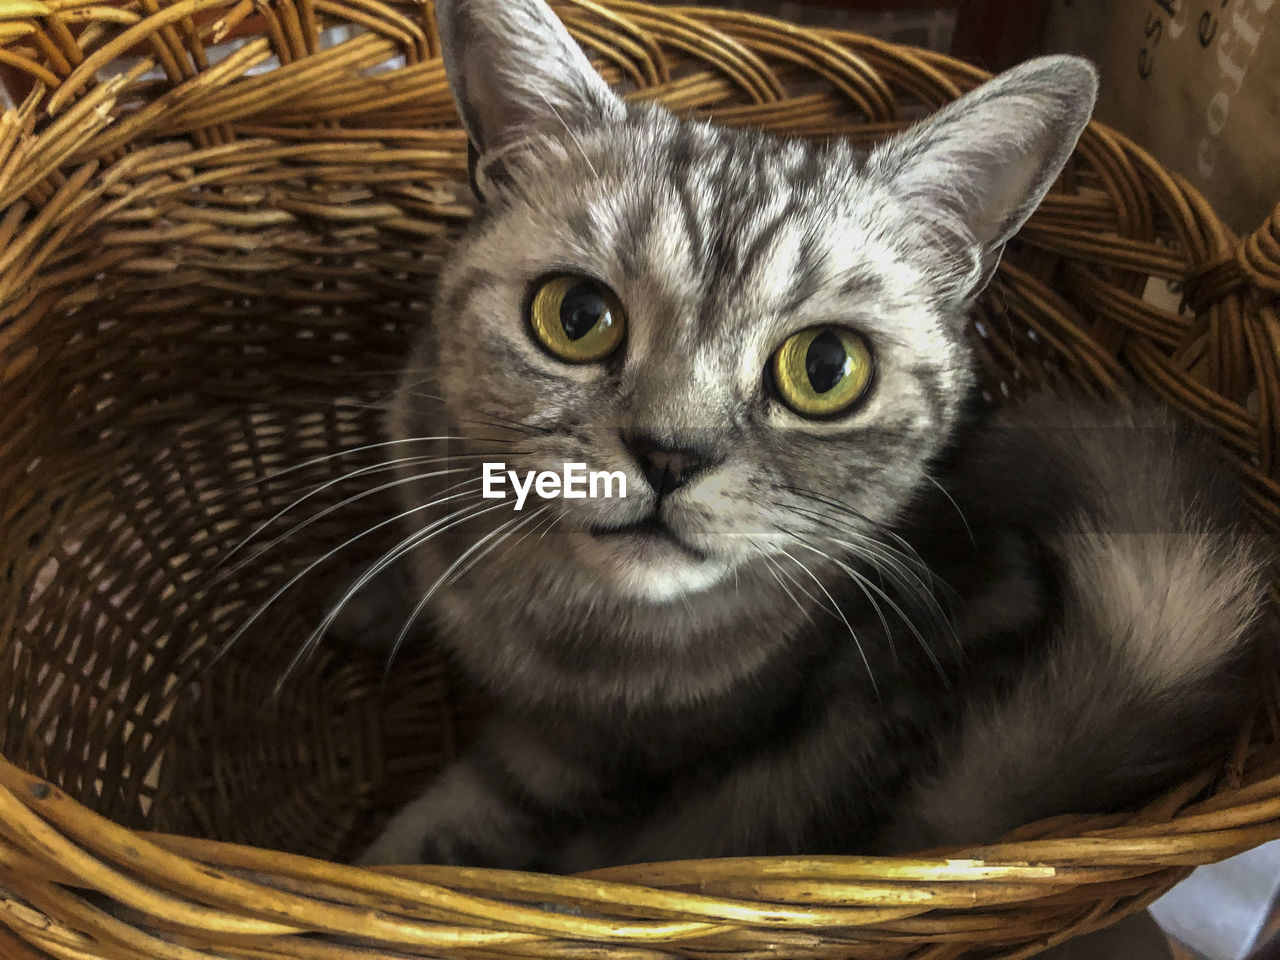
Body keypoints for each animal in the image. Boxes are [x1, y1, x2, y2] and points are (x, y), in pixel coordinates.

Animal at [353, 0, 1269, 870]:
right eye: (576, 317)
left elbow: (477, 815)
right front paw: (376, 596)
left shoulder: (596, 758)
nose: (670, 455)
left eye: (826, 367)